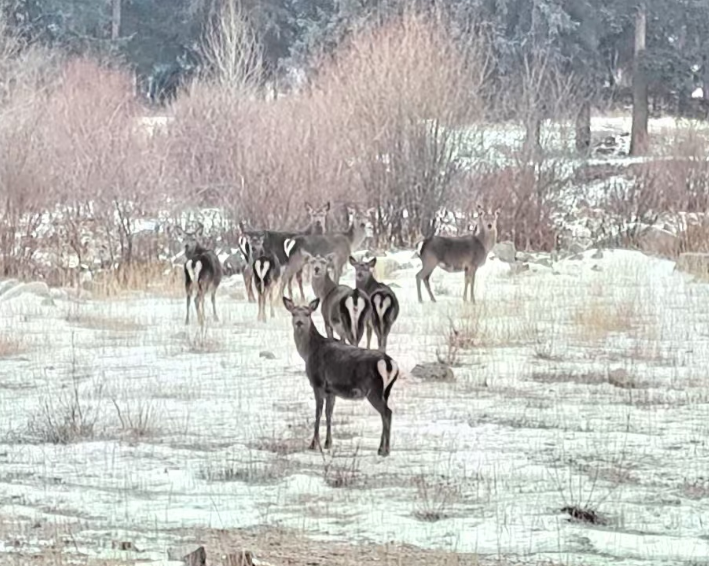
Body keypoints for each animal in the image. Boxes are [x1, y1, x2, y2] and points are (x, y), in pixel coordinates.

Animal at [284, 298, 402, 458]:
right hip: (386, 391)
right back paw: (380, 449)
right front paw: (328, 443)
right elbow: (328, 414)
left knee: (387, 413)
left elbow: (318, 413)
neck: (309, 352)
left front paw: (314, 444)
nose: (299, 323)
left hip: (373, 390)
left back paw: (386, 450)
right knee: (385, 414)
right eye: (293, 313)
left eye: (307, 314)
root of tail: (389, 363)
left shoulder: (318, 383)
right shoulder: (331, 390)